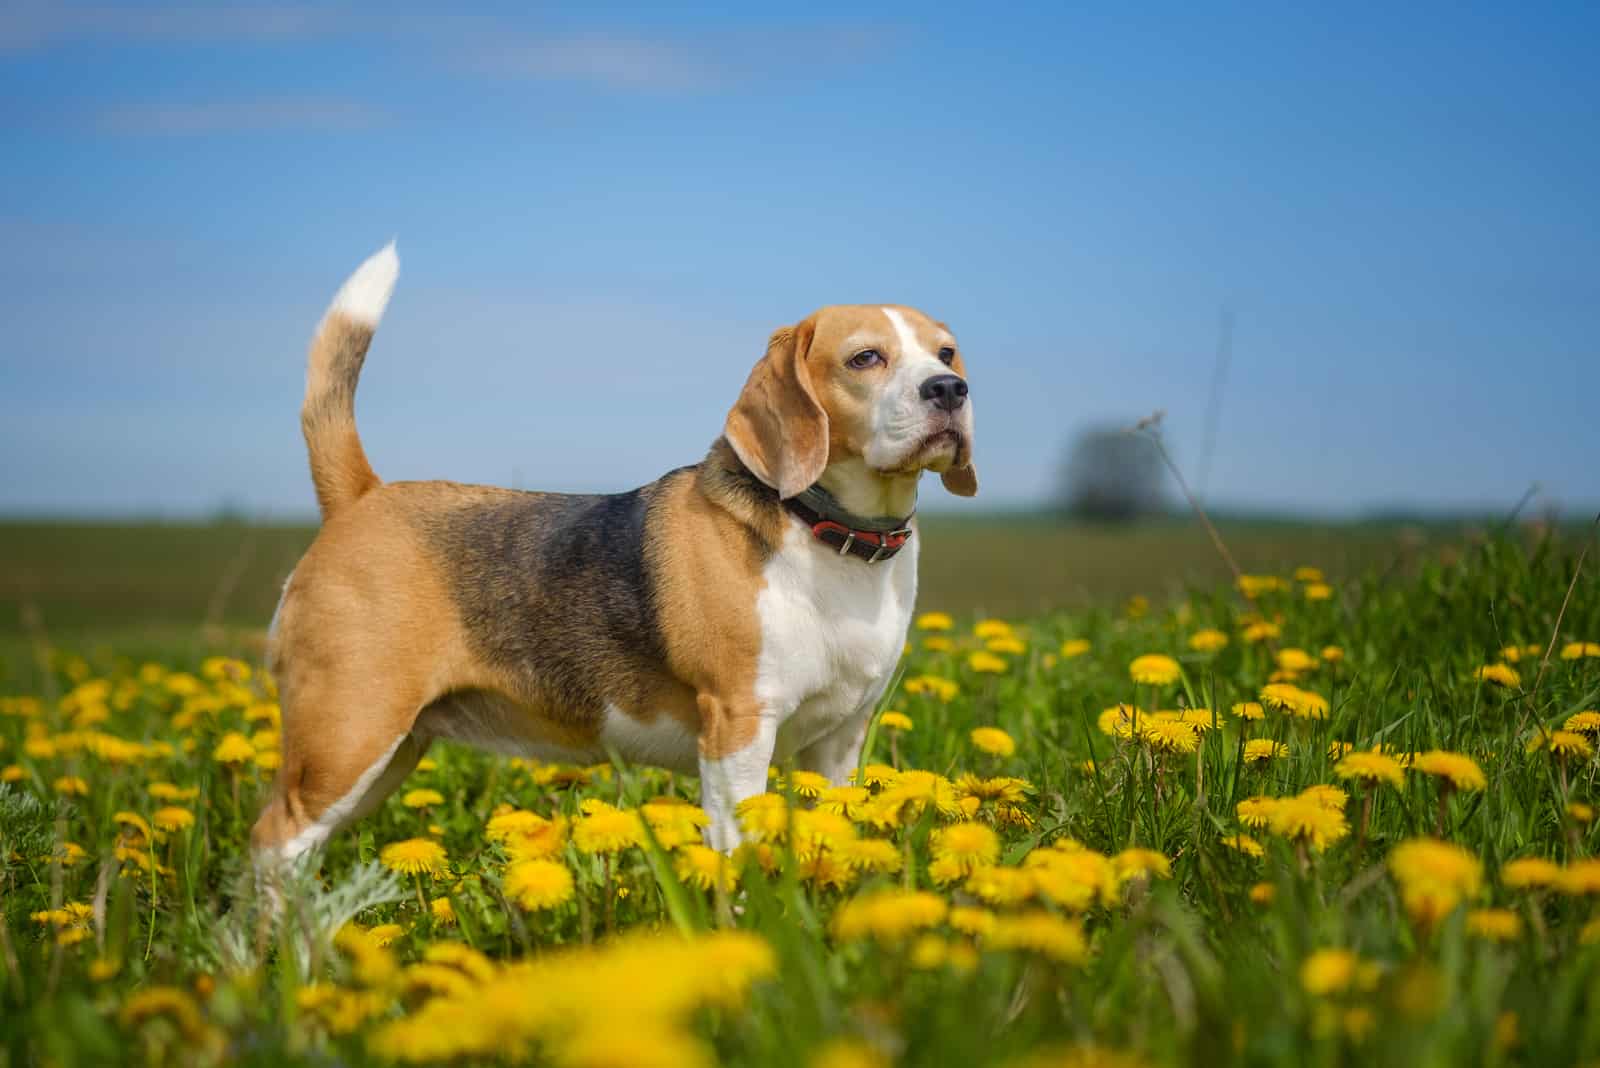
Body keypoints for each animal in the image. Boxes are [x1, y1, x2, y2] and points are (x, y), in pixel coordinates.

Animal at [251, 241, 972, 856]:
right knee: (273, 841)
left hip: (388, 752)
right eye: (865, 358)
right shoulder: (738, 728)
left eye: (946, 353)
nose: (949, 390)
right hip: (348, 734)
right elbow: (737, 854)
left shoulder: (839, 741)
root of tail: (362, 497)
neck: (832, 536)